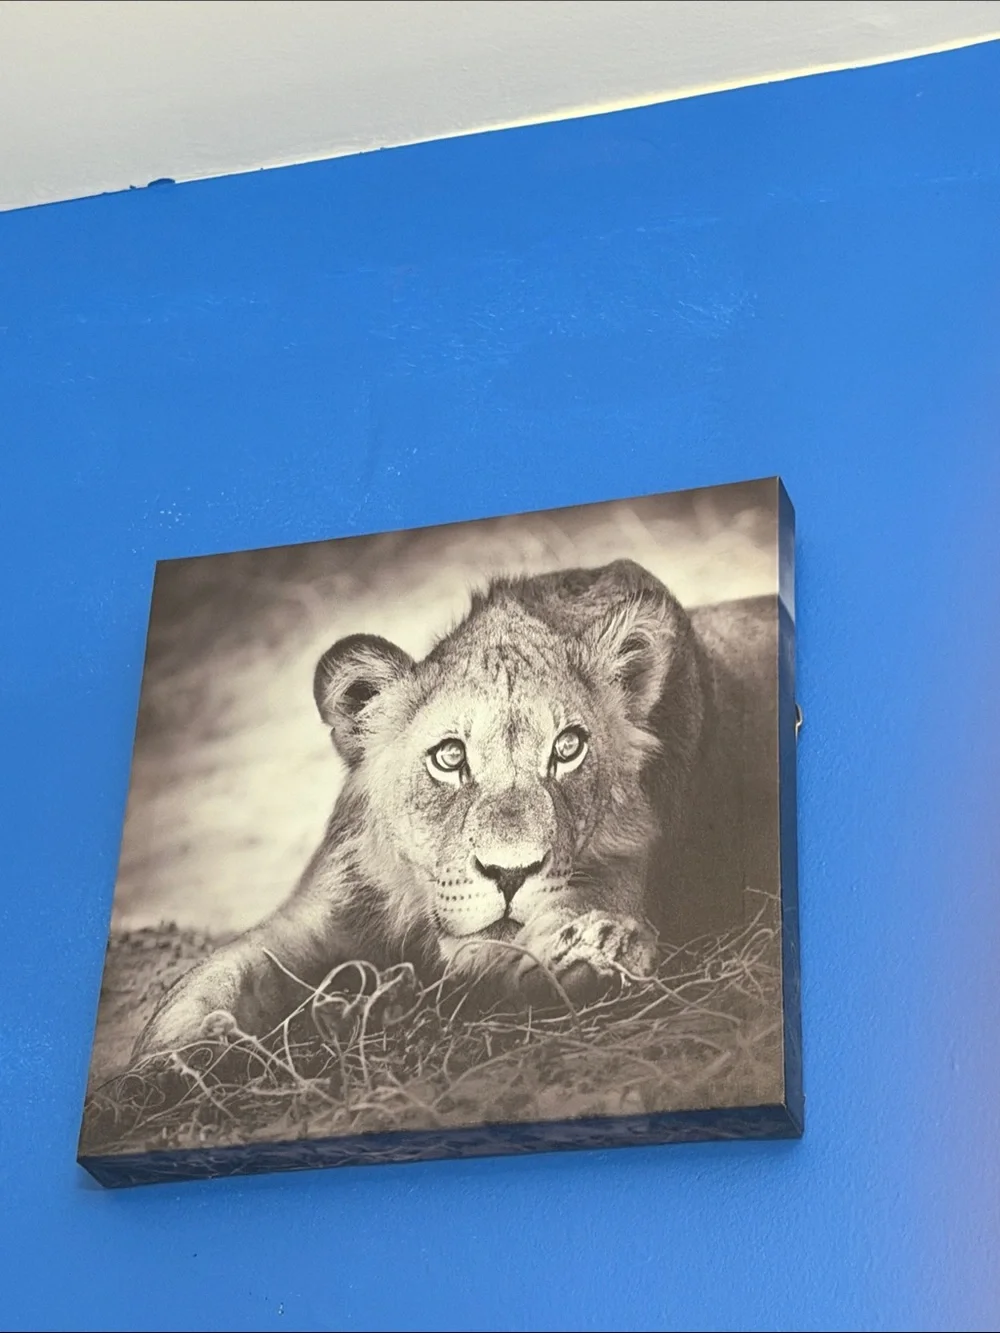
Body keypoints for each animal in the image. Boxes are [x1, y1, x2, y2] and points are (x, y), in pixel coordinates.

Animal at [133, 557, 776, 1058]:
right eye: (449, 757)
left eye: (568, 748)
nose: (511, 874)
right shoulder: (318, 910)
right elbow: (206, 979)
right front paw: (174, 1060)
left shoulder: (614, 879)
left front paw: (592, 954)